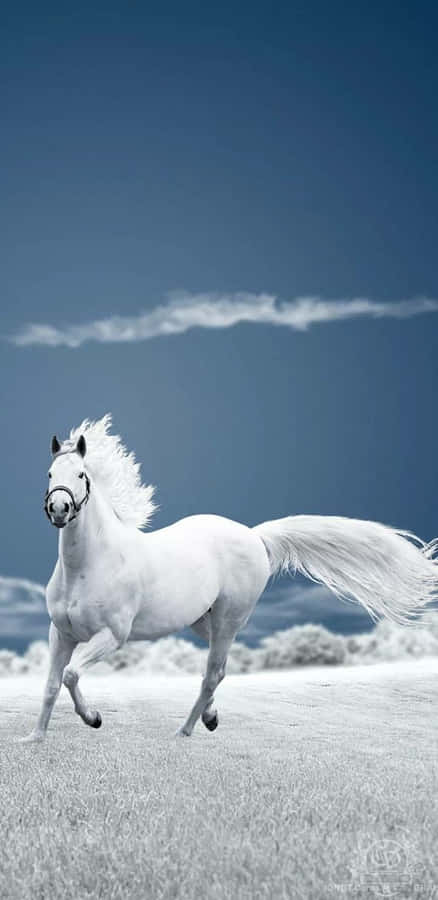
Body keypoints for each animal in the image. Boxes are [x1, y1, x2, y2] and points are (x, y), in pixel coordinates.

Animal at [21, 414, 438, 742]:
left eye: (81, 474)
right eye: (49, 474)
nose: (59, 508)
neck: (89, 565)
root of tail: (255, 536)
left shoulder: (112, 635)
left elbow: (71, 675)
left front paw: (93, 719)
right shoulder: (61, 634)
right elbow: (51, 685)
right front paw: (35, 737)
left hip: (228, 618)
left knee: (212, 672)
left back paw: (186, 730)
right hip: (203, 620)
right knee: (217, 669)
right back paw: (210, 717)